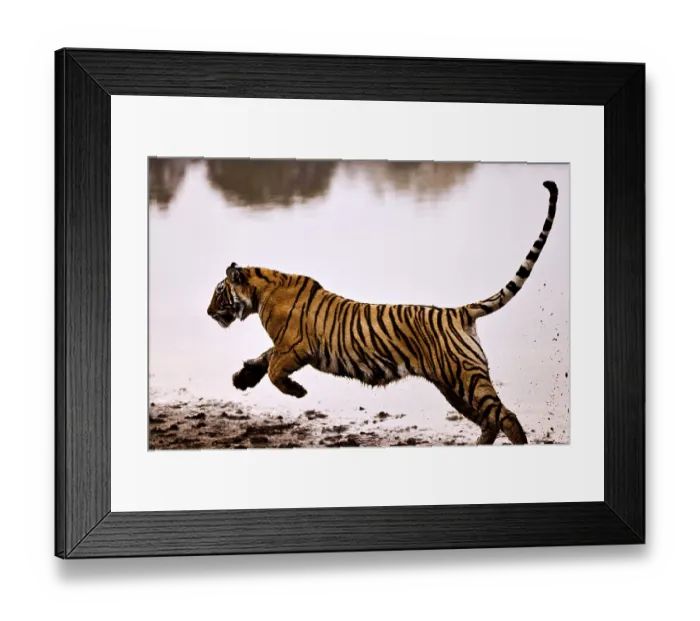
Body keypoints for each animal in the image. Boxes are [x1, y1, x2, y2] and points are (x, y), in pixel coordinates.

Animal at [207, 180, 559, 445]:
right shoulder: (284, 344)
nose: (209, 312)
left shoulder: (294, 346)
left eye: (219, 291)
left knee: (506, 417)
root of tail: (458, 313)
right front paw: (242, 378)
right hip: (453, 387)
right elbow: (264, 358)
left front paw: (297, 391)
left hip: (465, 378)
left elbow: (274, 370)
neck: (260, 292)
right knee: (490, 421)